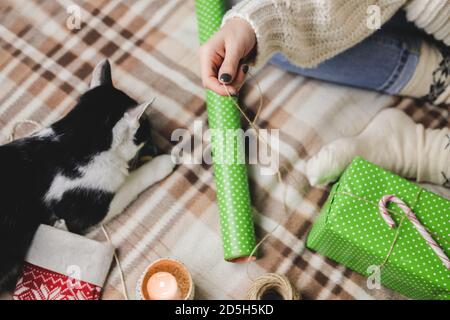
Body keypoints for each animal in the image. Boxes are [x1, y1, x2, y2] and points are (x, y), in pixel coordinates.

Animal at [0, 58, 175, 288]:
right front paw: (164, 162)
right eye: (145, 131)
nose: (154, 148)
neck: (75, 139)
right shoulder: (88, 211)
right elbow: (132, 182)